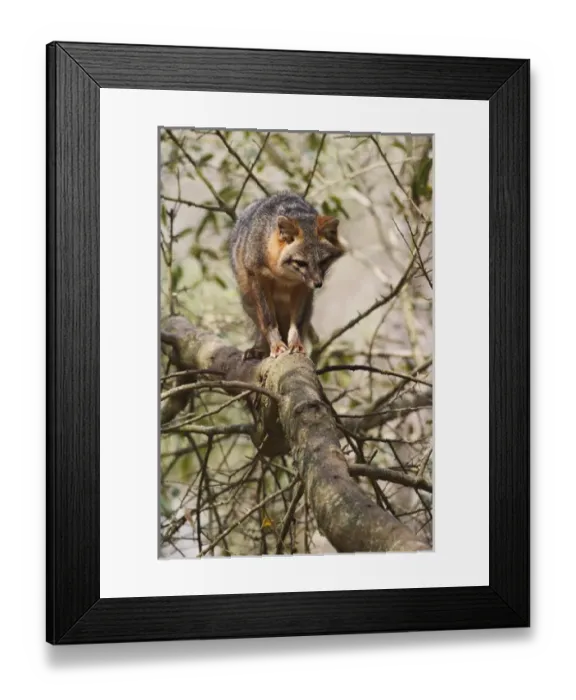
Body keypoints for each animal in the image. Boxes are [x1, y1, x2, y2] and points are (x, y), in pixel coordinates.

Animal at [228, 191, 344, 359]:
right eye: (301, 263)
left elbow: (297, 322)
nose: (318, 284)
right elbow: (268, 321)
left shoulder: (302, 287)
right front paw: (276, 345)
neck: (284, 277)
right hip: (248, 301)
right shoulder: (257, 277)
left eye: (323, 261)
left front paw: (296, 344)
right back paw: (259, 348)